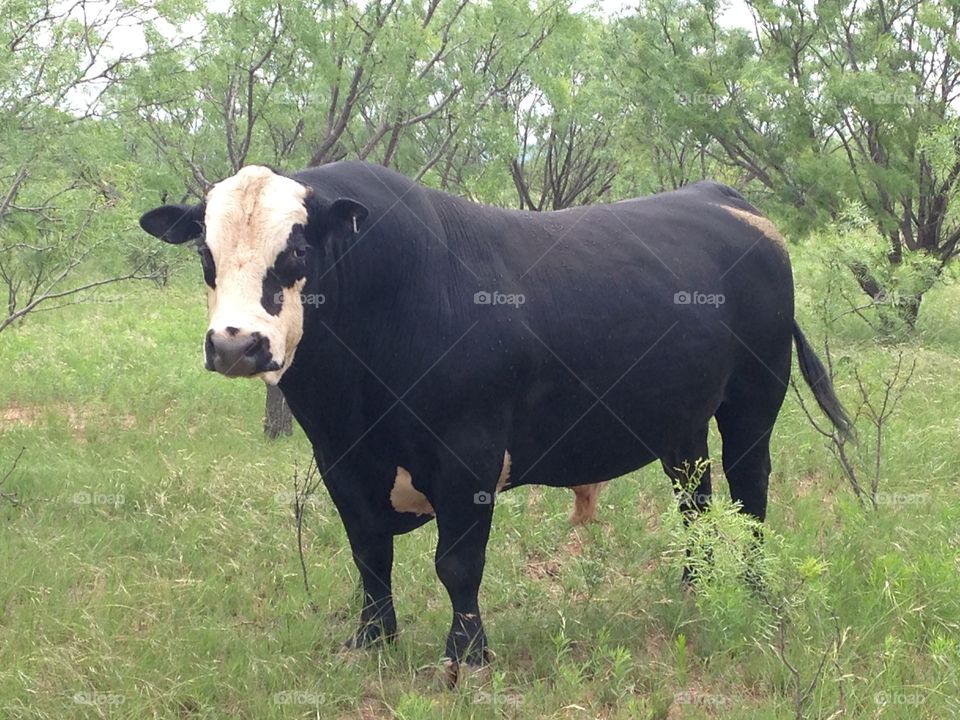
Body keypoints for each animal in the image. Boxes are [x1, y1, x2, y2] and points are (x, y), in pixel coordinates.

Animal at [139, 160, 852, 676]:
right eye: (205, 256)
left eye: (295, 254)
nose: (236, 345)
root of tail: (728, 199)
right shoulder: (341, 459)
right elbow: (368, 555)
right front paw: (371, 639)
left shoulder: (468, 455)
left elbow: (457, 563)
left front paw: (466, 656)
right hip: (680, 419)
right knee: (695, 501)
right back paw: (692, 588)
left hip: (753, 401)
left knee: (750, 495)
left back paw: (754, 590)